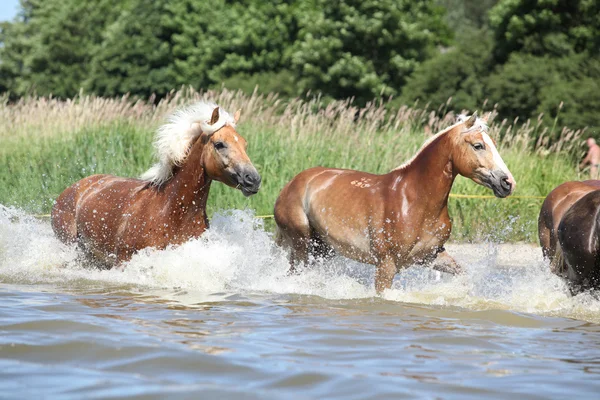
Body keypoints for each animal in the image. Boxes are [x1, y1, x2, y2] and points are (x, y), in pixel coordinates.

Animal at [276, 113, 516, 294]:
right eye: (478, 145)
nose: (507, 183)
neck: (414, 200)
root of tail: (290, 184)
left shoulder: (432, 255)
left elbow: (462, 274)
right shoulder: (387, 265)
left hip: (322, 249)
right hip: (302, 244)